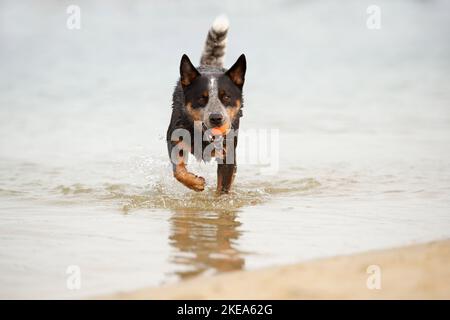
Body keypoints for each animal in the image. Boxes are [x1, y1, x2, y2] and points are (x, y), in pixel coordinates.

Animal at [167, 15, 248, 194]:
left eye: (226, 97)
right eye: (201, 98)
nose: (216, 118)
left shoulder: (227, 153)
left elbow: (223, 187)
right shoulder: (175, 137)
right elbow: (178, 170)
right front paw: (195, 182)